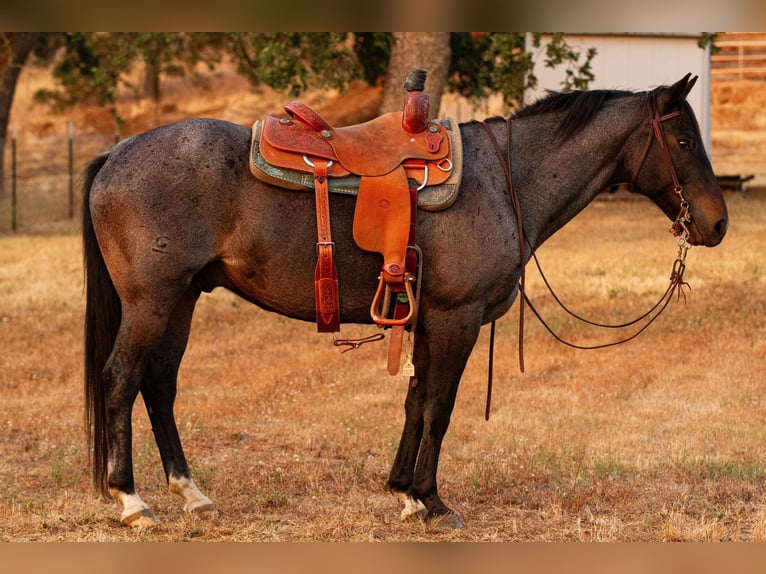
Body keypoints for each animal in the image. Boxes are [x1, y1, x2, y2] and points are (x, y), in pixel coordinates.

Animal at [82, 74, 728, 528]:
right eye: (682, 138)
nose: (718, 222)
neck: (506, 180)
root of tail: (116, 154)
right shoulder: (456, 319)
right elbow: (439, 406)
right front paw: (432, 500)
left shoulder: (424, 319)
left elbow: (415, 402)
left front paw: (404, 494)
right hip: (152, 301)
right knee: (120, 379)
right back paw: (132, 500)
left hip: (182, 299)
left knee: (158, 385)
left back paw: (191, 493)